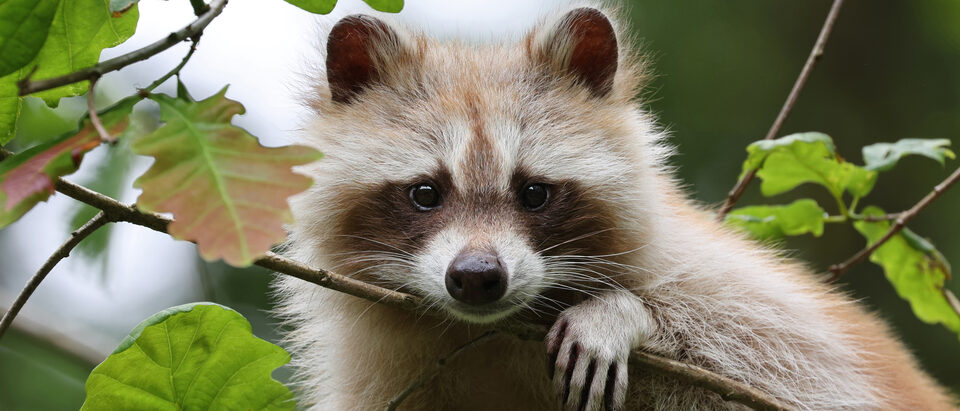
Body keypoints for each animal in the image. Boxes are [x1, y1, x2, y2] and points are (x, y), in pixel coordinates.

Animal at [273, 4, 955, 410]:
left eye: (534, 192)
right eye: (425, 193)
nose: (477, 278)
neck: (491, 332)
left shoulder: (758, 313)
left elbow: (779, 362)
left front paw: (623, 313)